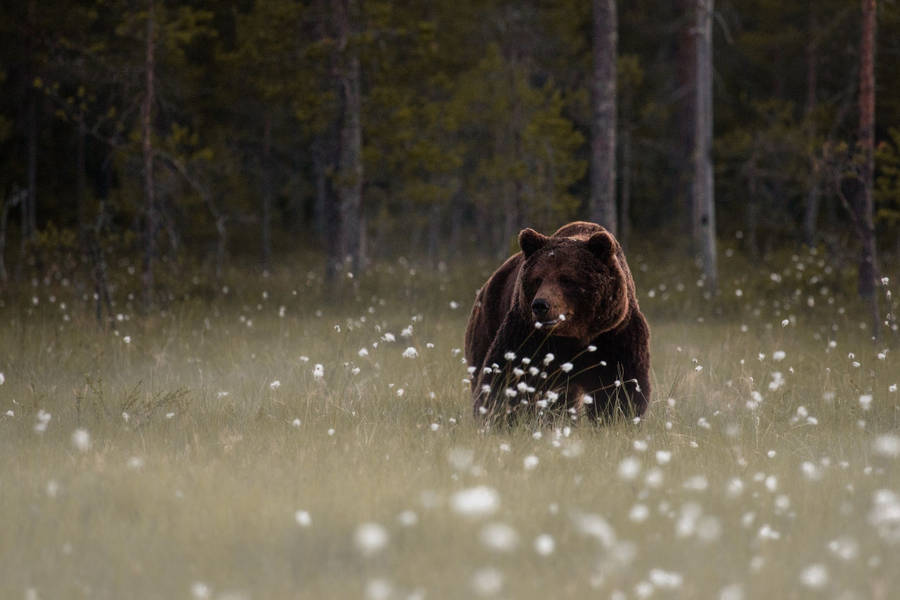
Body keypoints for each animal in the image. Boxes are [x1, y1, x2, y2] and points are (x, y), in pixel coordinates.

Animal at [464, 221, 650, 424]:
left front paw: (618, 416)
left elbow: (619, 385)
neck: (574, 336)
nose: (540, 305)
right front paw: (499, 415)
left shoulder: (614, 334)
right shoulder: (528, 335)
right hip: (487, 322)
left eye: (567, 279)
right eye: (538, 278)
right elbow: (508, 374)